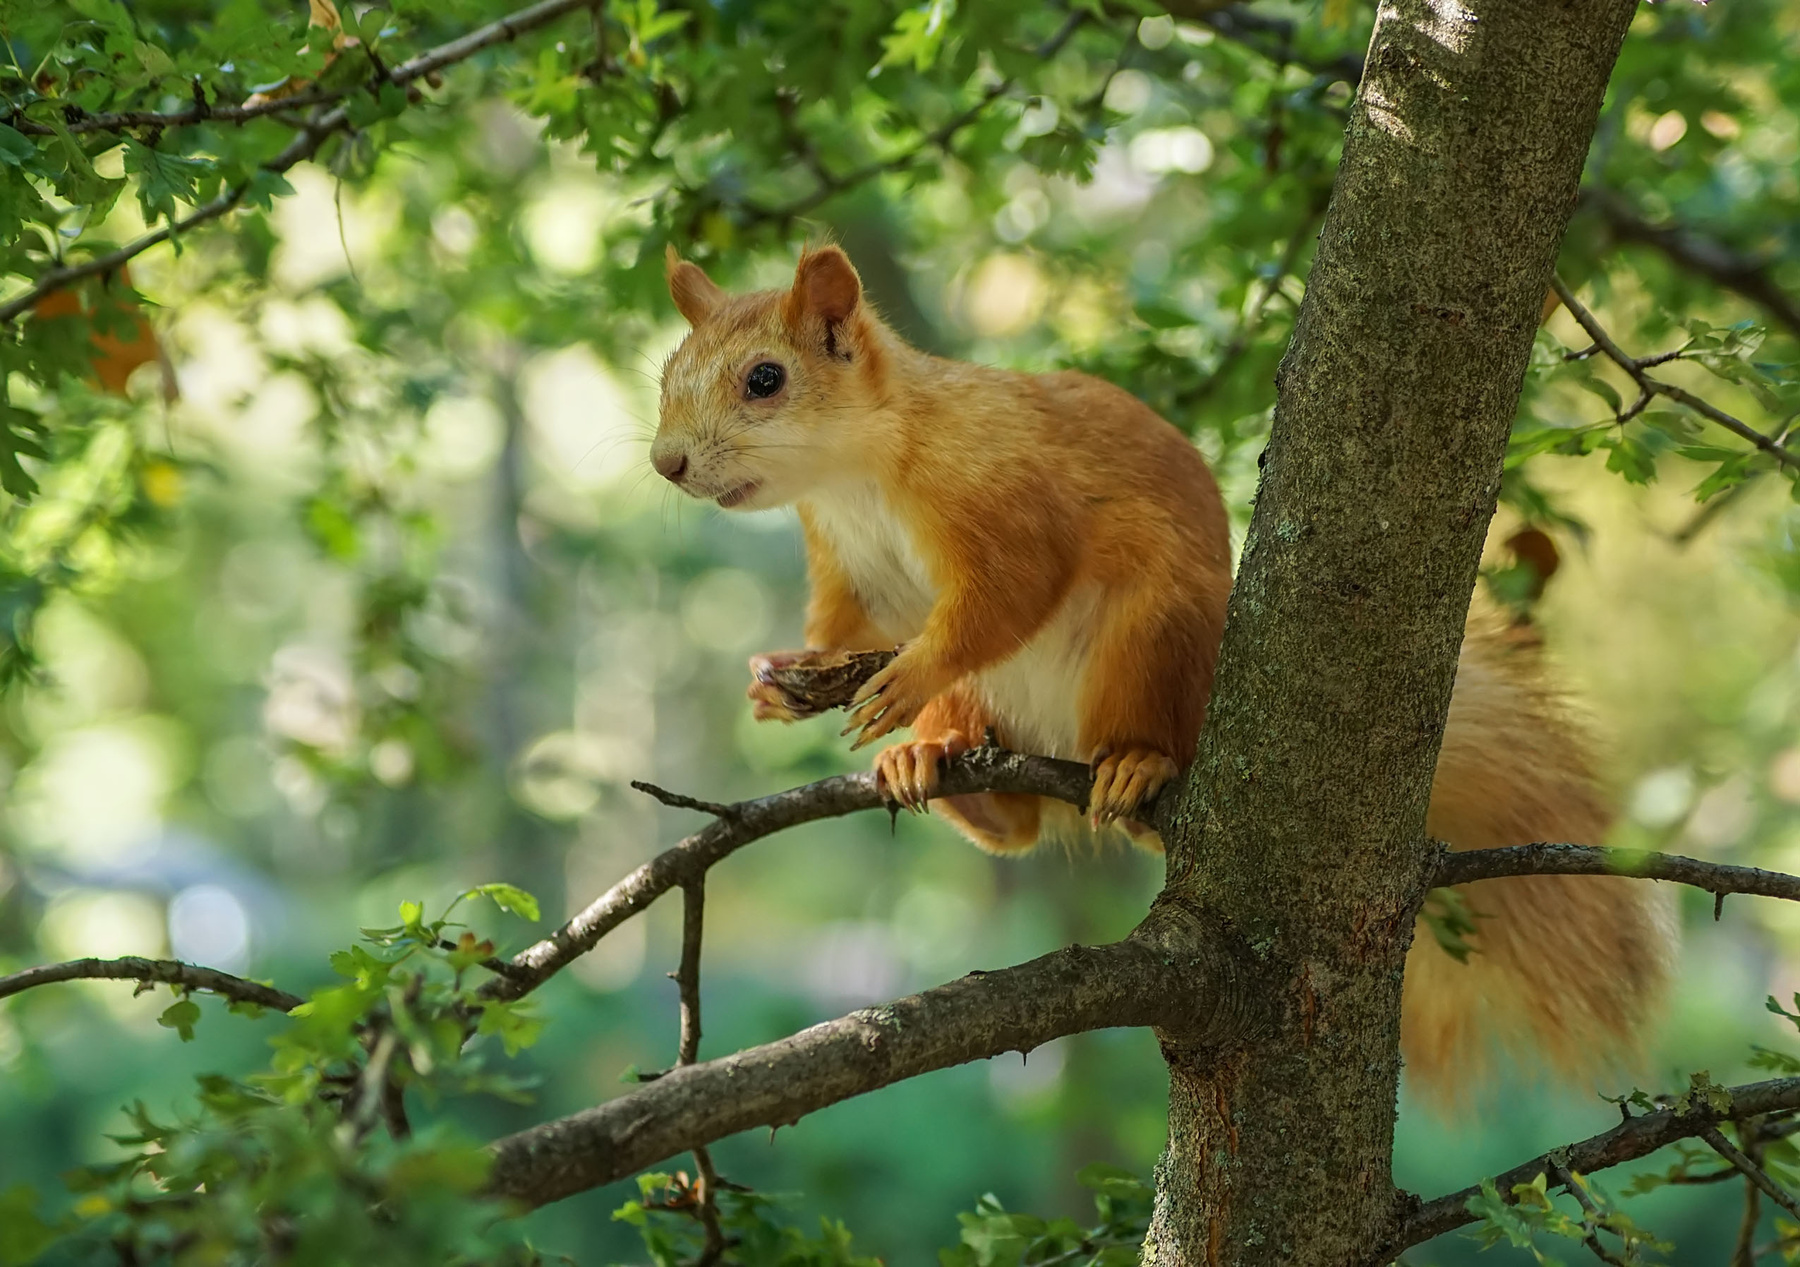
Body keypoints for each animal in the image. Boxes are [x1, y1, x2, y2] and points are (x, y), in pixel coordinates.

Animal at [650, 243, 1677, 1097]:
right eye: (666, 375)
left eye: (766, 379)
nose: (666, 462)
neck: (856, 470)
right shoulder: (845, 567)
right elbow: (839, 627)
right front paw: (777, 684)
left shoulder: (1001, 496)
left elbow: (1011, 590)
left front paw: (907, 674)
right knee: (1019, 822)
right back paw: (942, 763)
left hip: (1149, 638)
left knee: (1128, 755)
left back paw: (1134, 768)